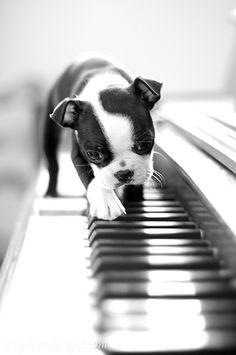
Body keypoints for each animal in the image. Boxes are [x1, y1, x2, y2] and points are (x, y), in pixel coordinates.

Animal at [43, 53, 162, 221]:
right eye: (94, 155)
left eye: (144, 144)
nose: (124, 173)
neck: (105, 86)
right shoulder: (78, 152)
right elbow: (92, 178)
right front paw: (107, 202)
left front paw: (135, 200)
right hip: (49, 132)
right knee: (52, 163)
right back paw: (50, 193)